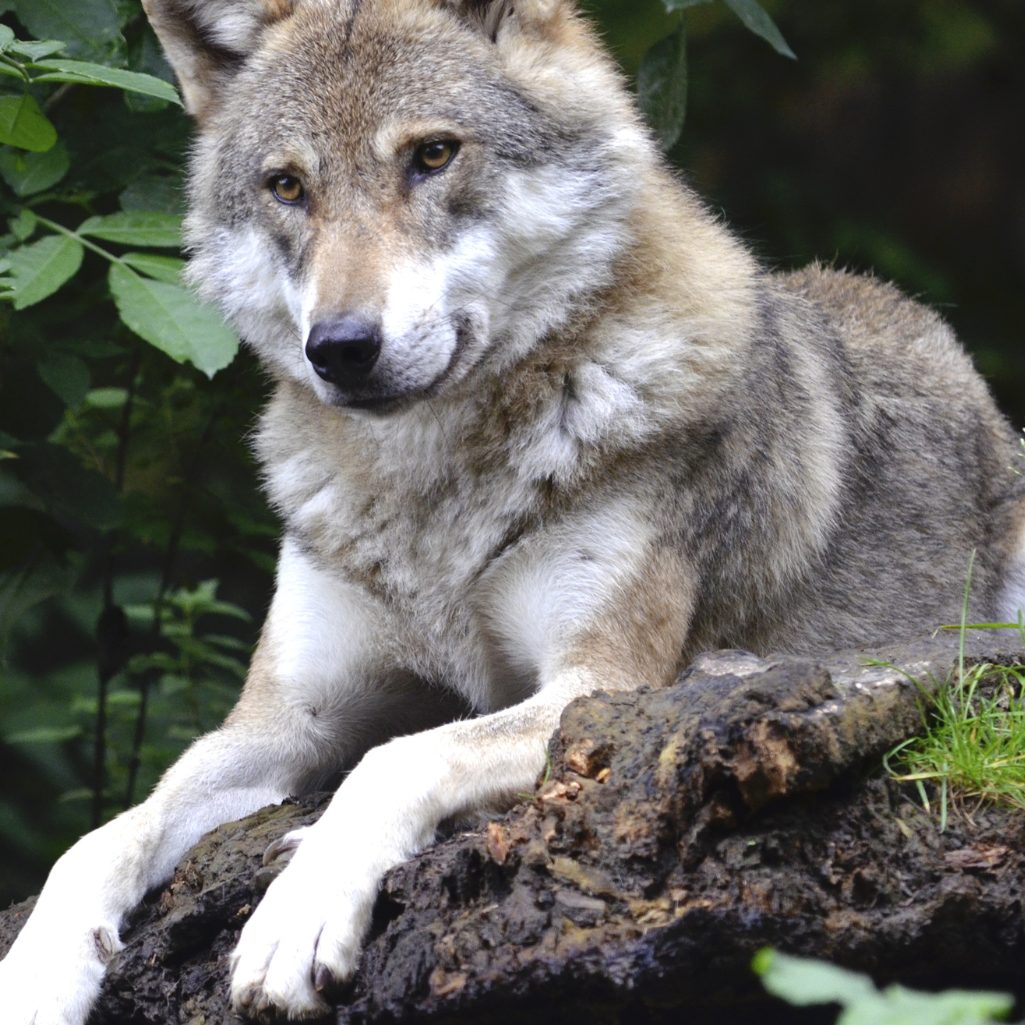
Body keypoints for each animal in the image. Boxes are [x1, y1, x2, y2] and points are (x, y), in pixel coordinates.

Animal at [2, 0, 1024, 1020]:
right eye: (287, 186)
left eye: (432, 155)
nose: (340, 347)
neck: (431, 495)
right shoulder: (284, 721)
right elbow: (108, 830)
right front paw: (38, 968)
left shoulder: (600, 688)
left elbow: (398, 756)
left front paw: (299, 910)